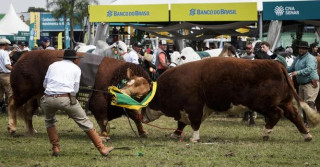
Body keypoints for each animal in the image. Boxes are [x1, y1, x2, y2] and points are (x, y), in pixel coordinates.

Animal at [8, 50, 151, 137]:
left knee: (28, 113)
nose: (123, 93)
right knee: (12, 104)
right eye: (128, 84)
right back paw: (12, 127)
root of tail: (24, 55)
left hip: (34, 97)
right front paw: (104, 135)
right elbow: (103, 120)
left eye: (140, 95)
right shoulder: (97, 102)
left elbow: (136, 117)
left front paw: (143, 132)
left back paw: (31, 131)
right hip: (22, 92)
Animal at [142, 57, 320, 142]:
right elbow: (181, 123)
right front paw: (175, 134)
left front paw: (194, 138)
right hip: (285, 102)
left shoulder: (194, 107)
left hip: (264, 104)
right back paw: (307, 136)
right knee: (295, 116)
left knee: (277, 114)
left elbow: (194, 123)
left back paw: (266, 133)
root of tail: (276, 64)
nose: (141, 117)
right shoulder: (190, 109)